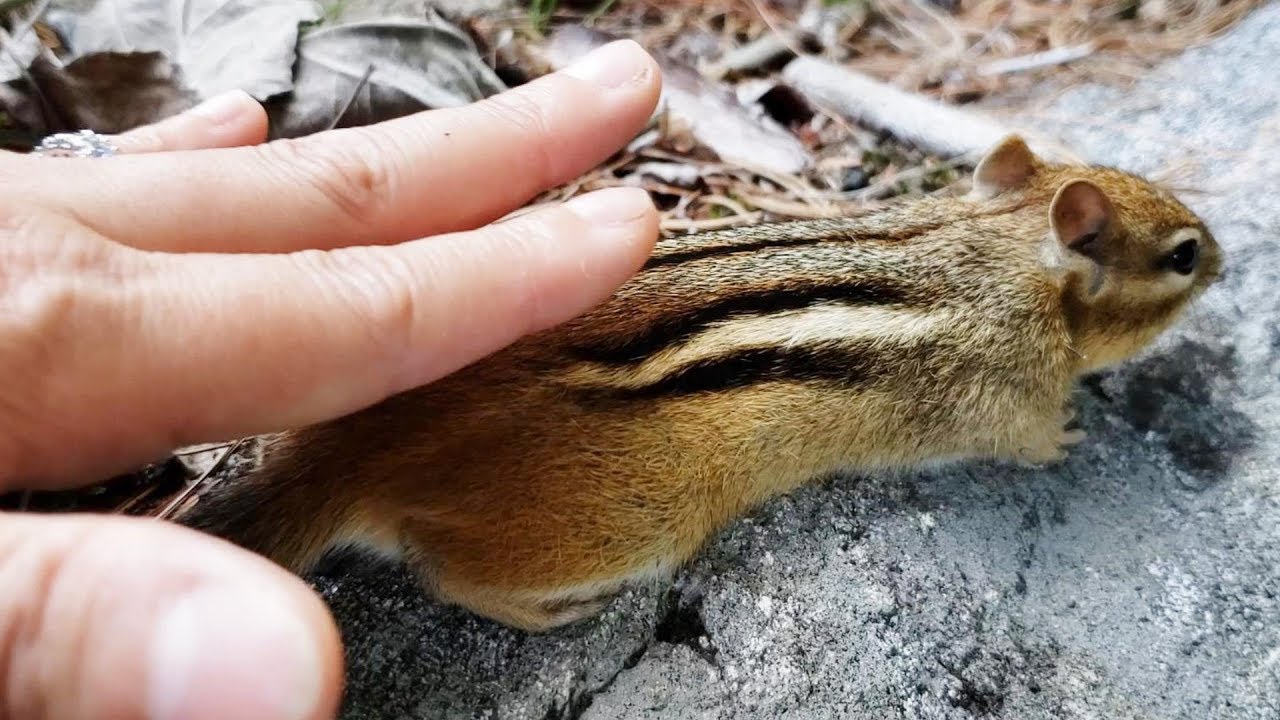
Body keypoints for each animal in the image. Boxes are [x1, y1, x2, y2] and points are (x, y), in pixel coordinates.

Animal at [174, 135, 1223, 632]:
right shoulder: (997, 386)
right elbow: (1022, 434)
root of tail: (345, 452)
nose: (1225, 261)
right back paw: (549, 610)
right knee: (443, 568)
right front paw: (1068, 435)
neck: (995, 252)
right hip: (640, 517)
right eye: (1181, 255)